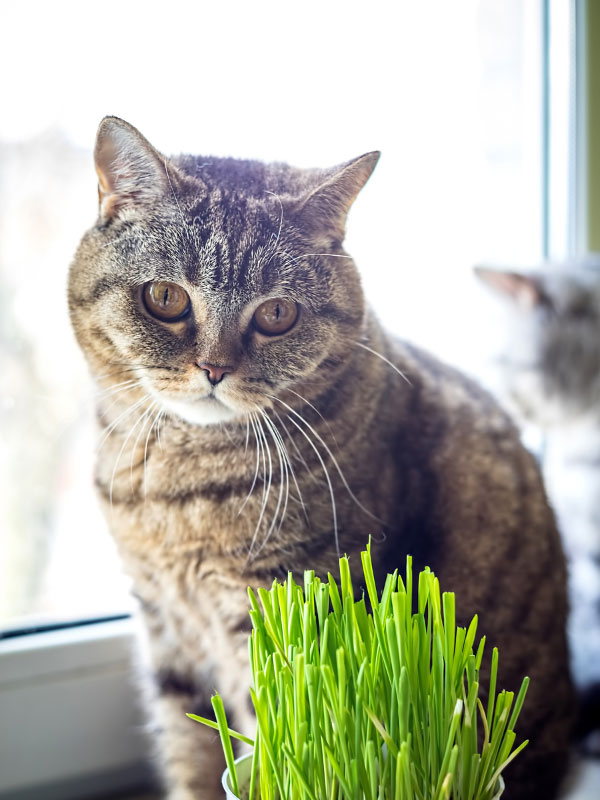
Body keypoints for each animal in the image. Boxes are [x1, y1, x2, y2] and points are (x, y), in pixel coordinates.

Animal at [68, 115, 576, 796]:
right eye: (166, 298)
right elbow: (191, 751)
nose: (214, 369)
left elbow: (270, 723)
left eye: (277, 313)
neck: (174, 490)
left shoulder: (282, 605)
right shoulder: (165, 625)